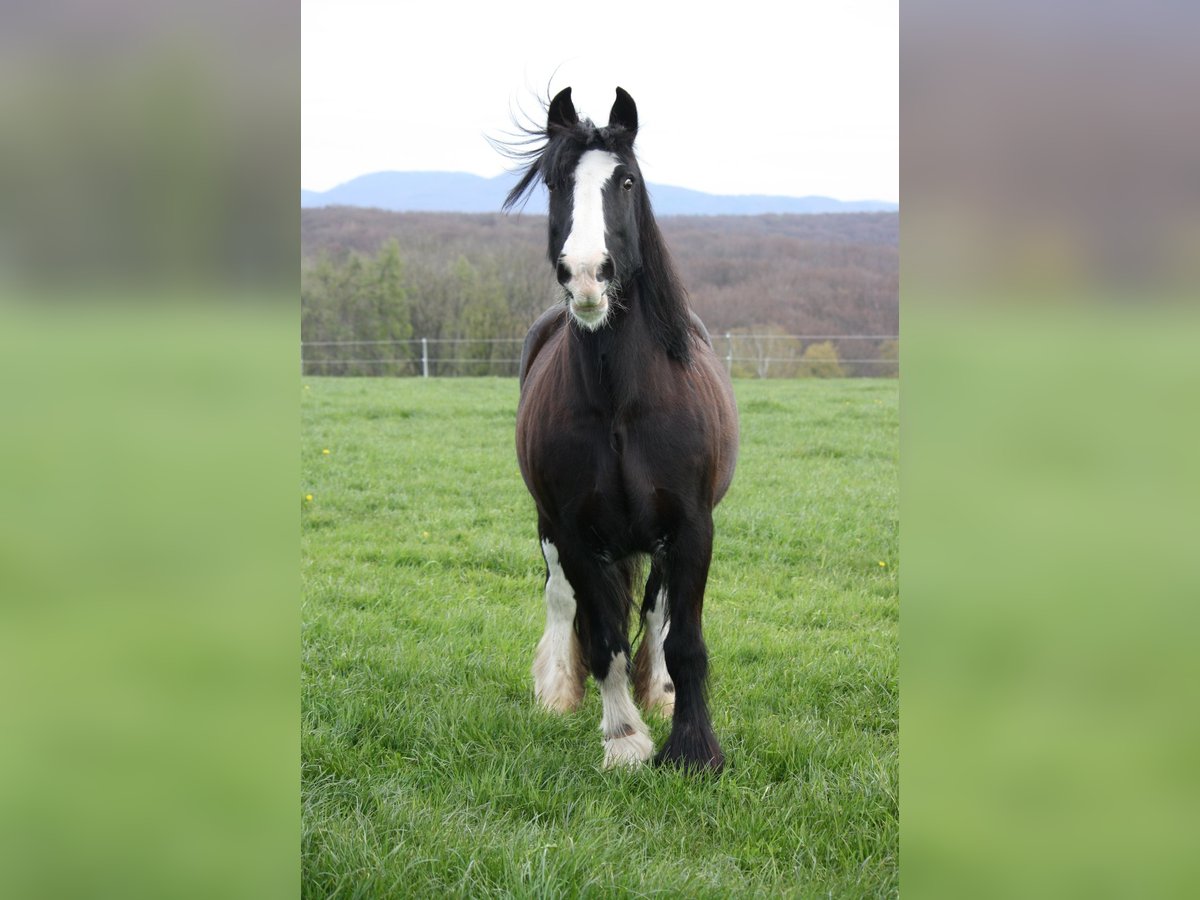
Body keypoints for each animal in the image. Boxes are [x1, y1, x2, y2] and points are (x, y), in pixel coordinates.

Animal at [501, 88, 734, 772]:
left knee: (656, 614)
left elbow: (684, 641)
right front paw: (626, 740)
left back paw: (658, 691)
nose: (585, 275)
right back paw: (558, 690)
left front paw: (693, 748)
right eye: (556, 183)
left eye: (625, 181)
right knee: (561, 600)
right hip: (551, 530)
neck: (619, 405)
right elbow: (603, 640)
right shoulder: (574, 533)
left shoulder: (690, 528)